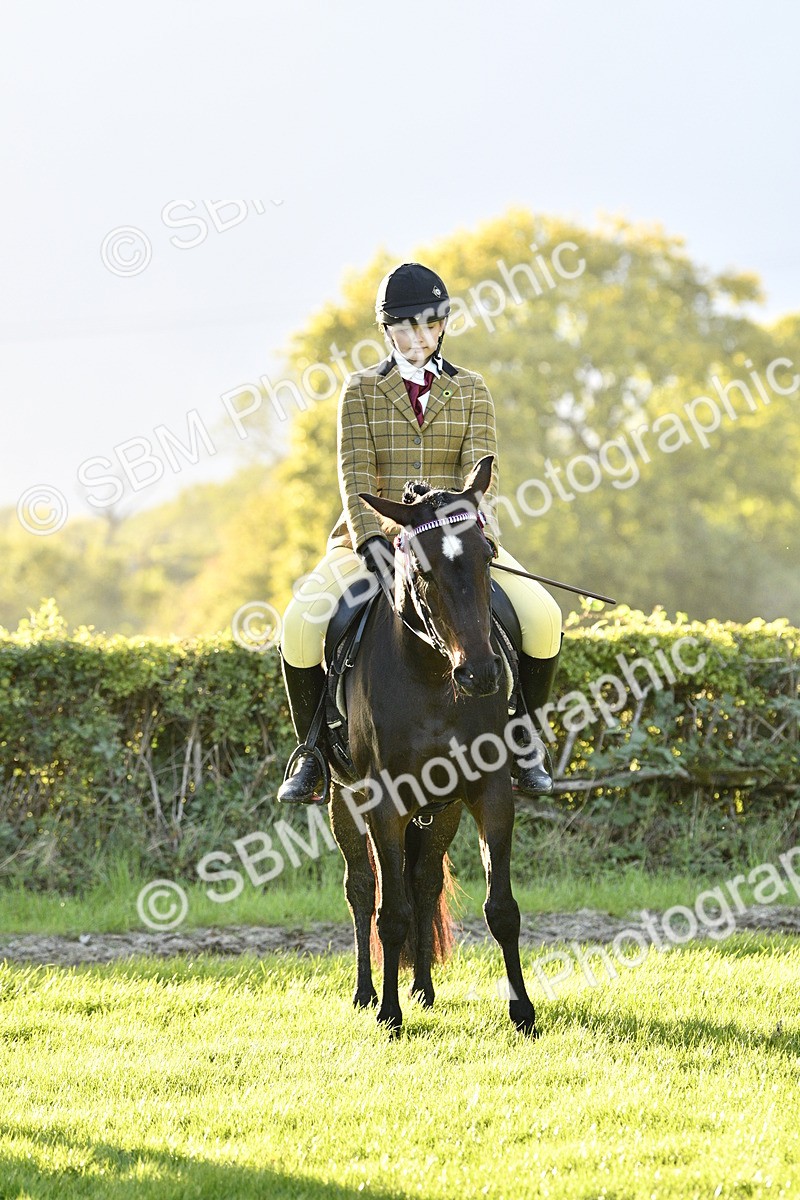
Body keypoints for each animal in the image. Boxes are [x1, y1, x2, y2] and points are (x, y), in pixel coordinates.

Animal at [328, 454, 538, 1037]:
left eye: (487, 554)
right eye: (420, 568)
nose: (481, 674)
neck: (432, 677)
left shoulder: (490, 792)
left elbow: (501, 908)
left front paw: (523, 1013)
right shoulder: (384, 802)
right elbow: (389, 912)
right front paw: (389, 1015)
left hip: (440, 810)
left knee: (422, 884)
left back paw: (423, 988)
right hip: (342, 798)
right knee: (363, 889)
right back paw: (367, 993)